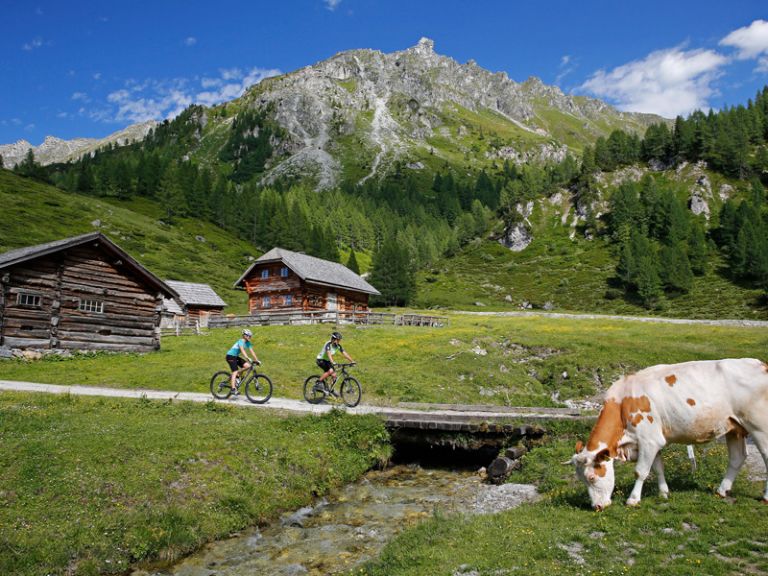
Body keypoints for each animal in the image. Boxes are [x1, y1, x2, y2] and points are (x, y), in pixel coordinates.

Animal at [570, 358, 768, 510]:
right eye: (581, 479)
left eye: (592, 477)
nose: (596, 507)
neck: (622, 405)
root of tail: (760, 364)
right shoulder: (652, 441)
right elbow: (658, 468)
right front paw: (664, 493)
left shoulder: (648, 440)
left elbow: (641, 471)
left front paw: (633, 499)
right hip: (735, 428)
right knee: (737, 458)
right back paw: (722, 491)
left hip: (759, 427)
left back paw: (765, 497)